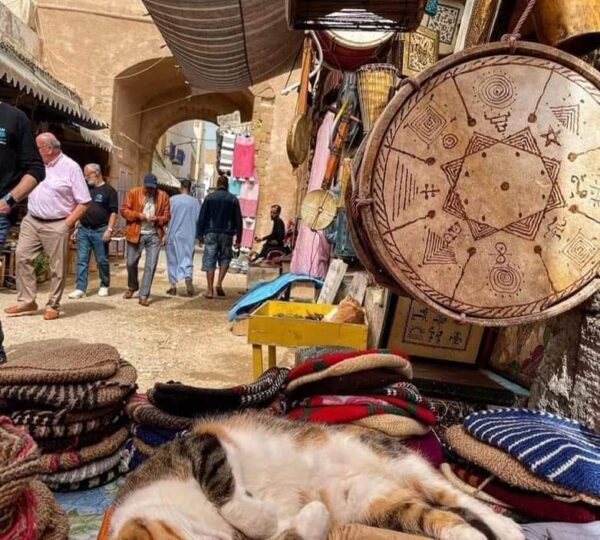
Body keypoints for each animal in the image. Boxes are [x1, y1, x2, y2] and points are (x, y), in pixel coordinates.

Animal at [110, 412, 524, 536]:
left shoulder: (199, 445)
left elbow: (226, 492)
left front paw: (257, 514)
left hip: (401, 461)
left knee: (462, 500)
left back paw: (507, 528)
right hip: (379, 504)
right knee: (446, 519)